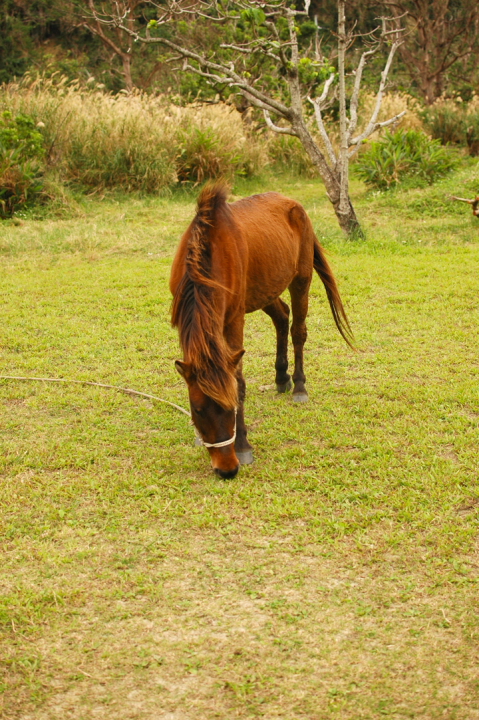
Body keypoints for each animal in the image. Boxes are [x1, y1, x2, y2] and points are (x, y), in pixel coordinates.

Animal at [170, 182, 353, 479]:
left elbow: (239, 381)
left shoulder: (234, 321)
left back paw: (298, 386)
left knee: (298, 331)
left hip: (300, 280)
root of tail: (294, 204)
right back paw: (281, 377)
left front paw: (244, 445)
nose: (227, 469)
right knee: (282, 317)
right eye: (197, 409)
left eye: (231, 407)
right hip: (266, 290)